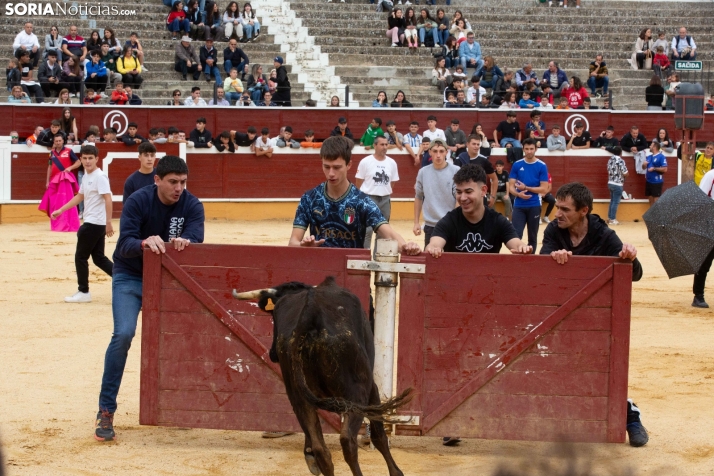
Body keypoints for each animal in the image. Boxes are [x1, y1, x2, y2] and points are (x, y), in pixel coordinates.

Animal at [234, 276, 412, 476]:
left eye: (273, 317)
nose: (272, 354)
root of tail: (310, 312)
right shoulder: (371, 388)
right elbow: (379, 435)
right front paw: (396, 472)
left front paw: (309, 457)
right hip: (356, 393)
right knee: (348, 441)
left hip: (298, 396)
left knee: (321, 449)